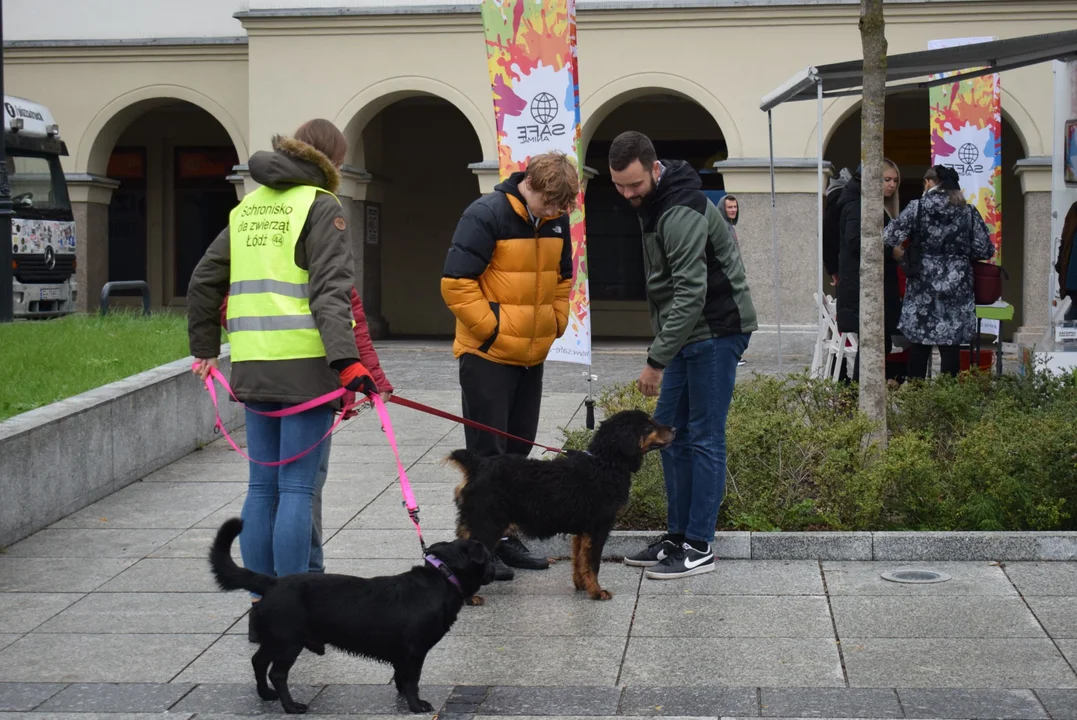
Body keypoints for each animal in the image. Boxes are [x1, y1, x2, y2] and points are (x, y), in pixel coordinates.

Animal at [207, 516, 493, 714]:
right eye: (488, 557)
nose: (495, 567)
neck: (442, 576)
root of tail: (272, 582)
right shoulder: (414, 651)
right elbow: (413, 680)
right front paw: (416, 705)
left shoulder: (402, 654)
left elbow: (401, 677)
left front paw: (401, 697)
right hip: (289, 643)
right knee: (277, 674)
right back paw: (291, 707)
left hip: (275, 640)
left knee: (258, 662)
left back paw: (265, 695)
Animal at [448, 408, 672, 602]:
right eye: (648, 426)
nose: (674, 429)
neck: (604, 464)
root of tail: (477, 465)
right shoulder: (598, 527)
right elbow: (593, 563)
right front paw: (597, 592)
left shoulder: (582, 531)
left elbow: (579, 559)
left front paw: (582, 585)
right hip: (487, 524)